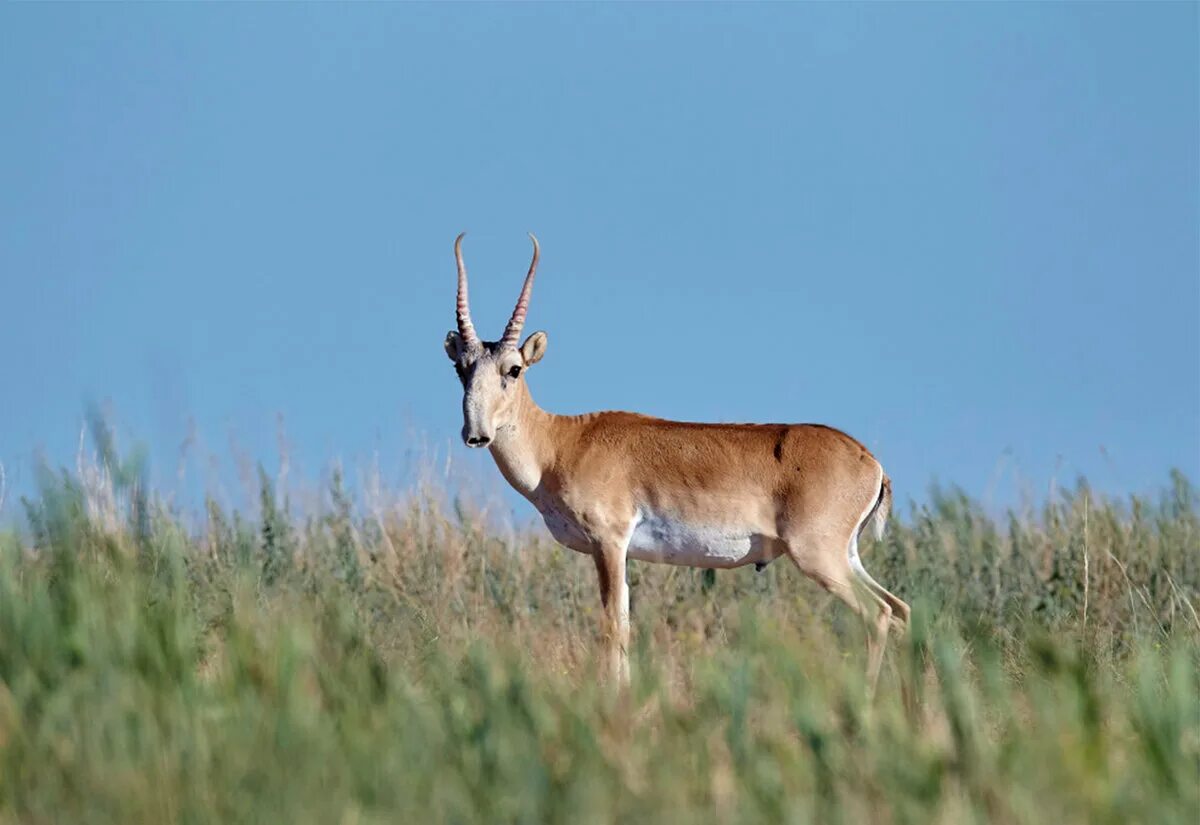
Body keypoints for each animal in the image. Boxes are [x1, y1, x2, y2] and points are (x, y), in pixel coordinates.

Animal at [444, 232, 907, 690]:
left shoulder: (609, 542)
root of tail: (869, 461)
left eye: (514, 368)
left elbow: (614, 626)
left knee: (879, 614)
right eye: (461, 367)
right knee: (899, 609)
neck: (561, 443)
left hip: (818, 556)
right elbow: (623, 622)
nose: (476, 434)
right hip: (847, 555)